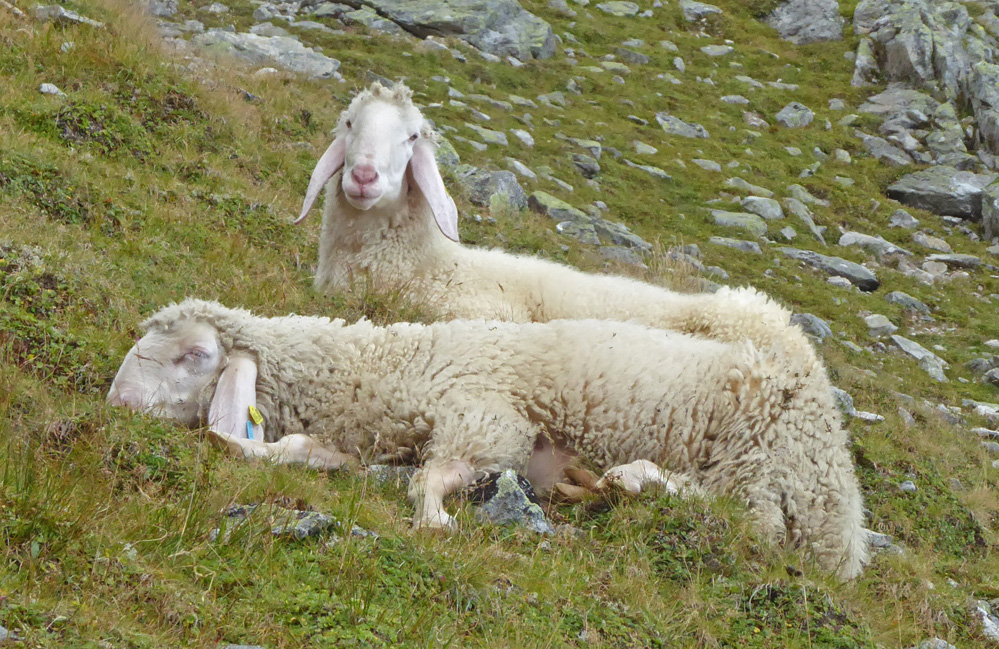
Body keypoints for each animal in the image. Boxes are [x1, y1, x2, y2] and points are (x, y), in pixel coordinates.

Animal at [109, 298, 872, 576]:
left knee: (750, 525)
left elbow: (431, 477)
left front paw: (435, 519)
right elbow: (302, 453)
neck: (393, 369)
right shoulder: (368, 437)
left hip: (758, 464)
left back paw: (629, 478)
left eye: (193, 355)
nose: (117, 399)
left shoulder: (488, 422)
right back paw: (589, 486)